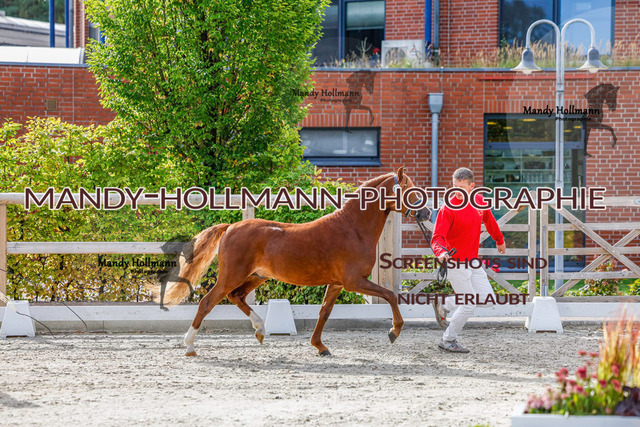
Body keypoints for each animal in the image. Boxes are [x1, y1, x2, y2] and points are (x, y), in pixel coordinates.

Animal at [149, 167, 428, 357]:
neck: (352, 228)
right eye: (410, 190)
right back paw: (189, 346)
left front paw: (320, 346)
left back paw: (260, 330)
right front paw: (394, 331)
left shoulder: (337, 284)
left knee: (236, 297)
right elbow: (390, 296)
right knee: (208, 302)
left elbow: (324, 312)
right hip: (232, 276)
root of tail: (231, 227)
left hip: (256, 276)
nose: (426, 213)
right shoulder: (354, 282)